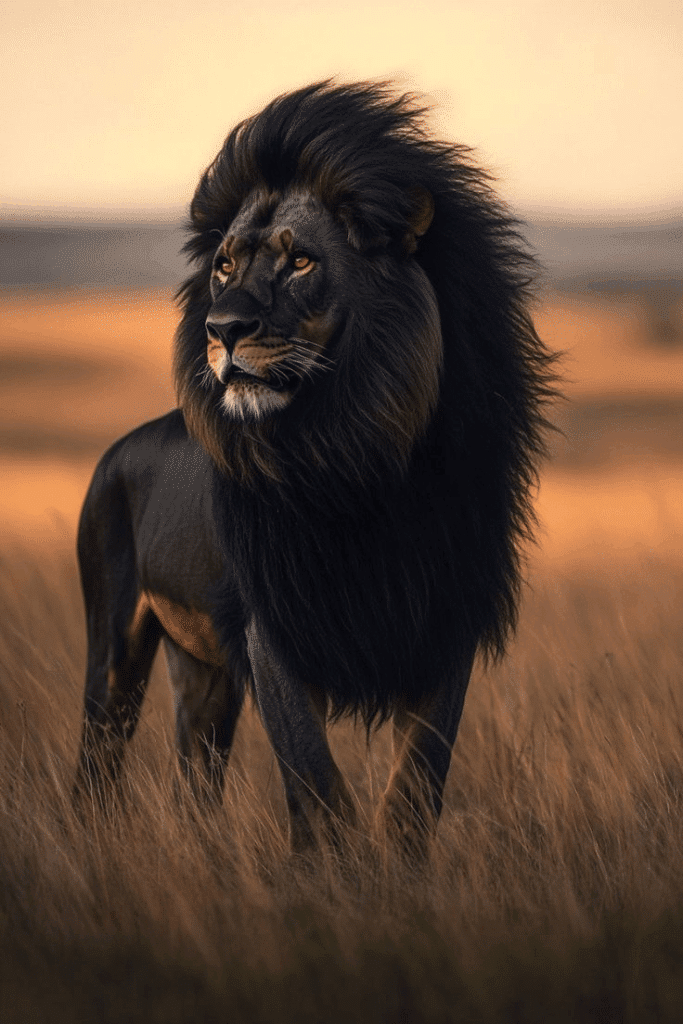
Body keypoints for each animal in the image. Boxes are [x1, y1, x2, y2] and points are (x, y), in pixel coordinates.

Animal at [74, 81, 556, 857]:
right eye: (224, 266)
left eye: (300, 262)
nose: (220, 329)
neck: (350, 453)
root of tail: (120, 449)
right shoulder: (273, 628)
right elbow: (317, 786)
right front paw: (332, 875)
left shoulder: (441, 617)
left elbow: (416, 785)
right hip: (114, 640)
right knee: (95, 763)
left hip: (204, 675)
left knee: (194, 785)